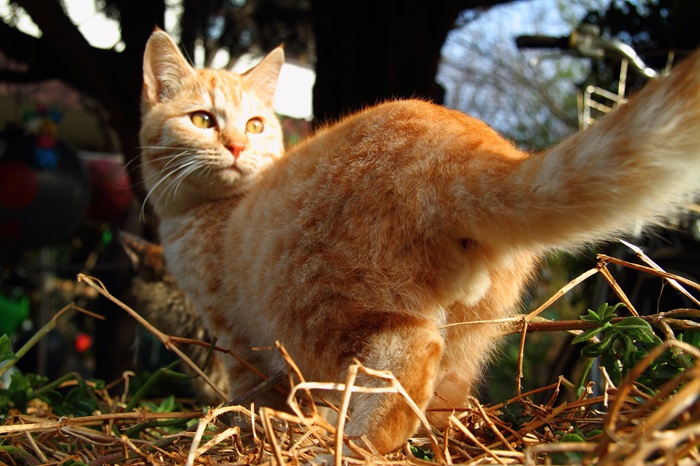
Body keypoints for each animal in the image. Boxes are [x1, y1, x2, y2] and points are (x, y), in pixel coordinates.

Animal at [139, 30, 700, 456]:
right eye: (202, 120)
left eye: (254, 125)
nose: (236, 147)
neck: (211, 213)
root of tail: (466, 147)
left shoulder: (235, 337)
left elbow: (251, 391)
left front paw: (249, 427)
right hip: (470, 336)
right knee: (445, 398)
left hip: (314, 307)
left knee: (407, 358)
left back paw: (352, 447)